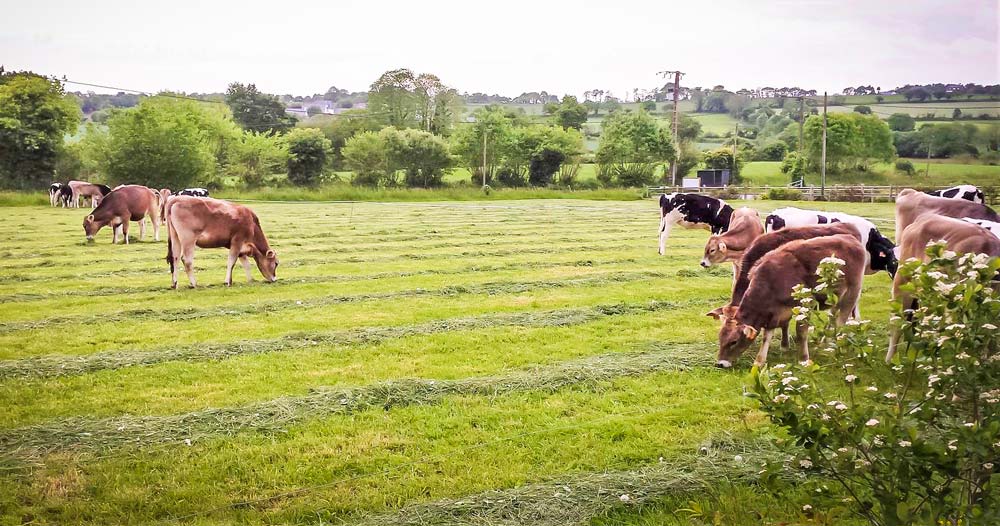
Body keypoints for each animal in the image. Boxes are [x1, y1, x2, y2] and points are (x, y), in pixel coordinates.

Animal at [708, 235, 864, 372]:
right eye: (720, 338)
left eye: (733, 341)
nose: (720, 364)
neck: (772, 280)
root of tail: (850, 239)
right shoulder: (773, 313)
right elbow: (767, 336)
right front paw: (759, 362)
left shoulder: (804, 306)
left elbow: (801, 334)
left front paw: (804, 360)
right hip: (835, 299)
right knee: (833, 317)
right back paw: (827, 342)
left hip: (852, 293)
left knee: (841, 320)